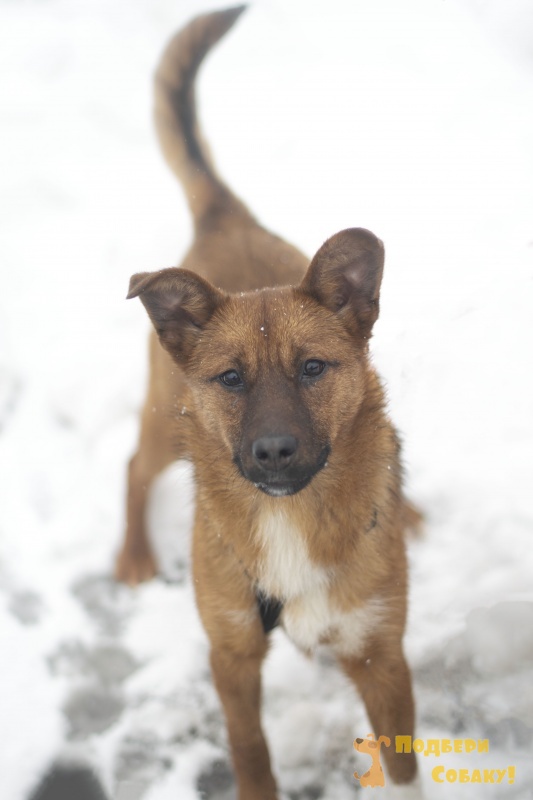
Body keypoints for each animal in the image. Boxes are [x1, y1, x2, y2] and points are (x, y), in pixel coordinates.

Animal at [115, 7, 422, 799]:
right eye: (230, 379)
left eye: (313, 368)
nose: (275, 452)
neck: (290, 520)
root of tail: (229, 217)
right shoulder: (230, 653)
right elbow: (249, 748)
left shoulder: (381, 652)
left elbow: (404, 764)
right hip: (163, 430)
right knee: (132, 468)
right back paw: (133, 554)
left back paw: (409, 508)